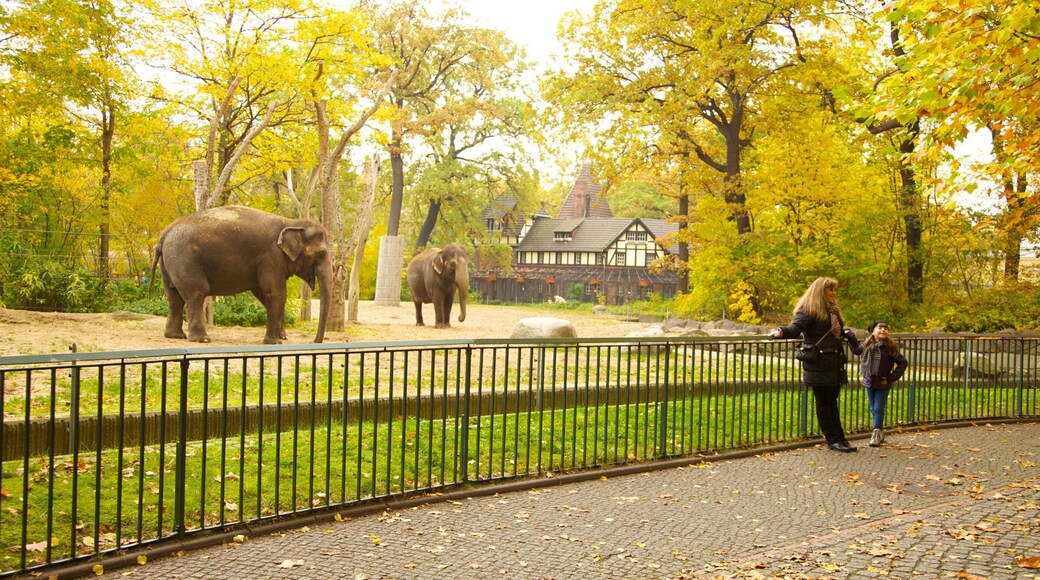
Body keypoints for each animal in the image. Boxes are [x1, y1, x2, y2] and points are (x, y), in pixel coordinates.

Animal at [150, 205, 331, 344]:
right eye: (321, 254)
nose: (314, 342)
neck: (291, 222)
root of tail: (165, 233)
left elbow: (263, 294)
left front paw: (282, 337)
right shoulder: (271, 256)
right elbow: (275, 292)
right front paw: (274, 342)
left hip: (170, 263)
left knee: (174, 297)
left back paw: (175, 336)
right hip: (185, 259)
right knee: (196, 293)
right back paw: (202, 340)